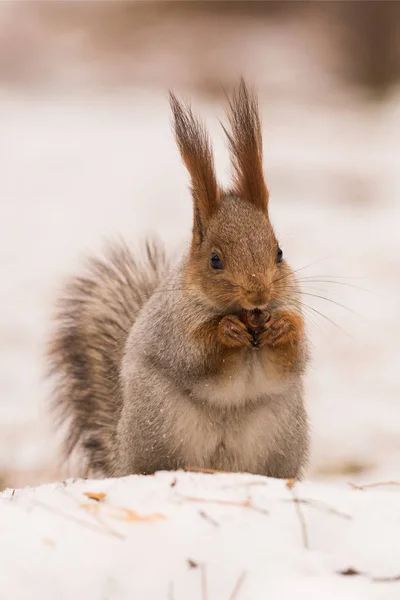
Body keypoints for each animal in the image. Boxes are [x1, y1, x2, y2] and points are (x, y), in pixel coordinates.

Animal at [47, 81, 310, 482]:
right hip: (160, 424)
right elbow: (196, 357)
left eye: (279, 252)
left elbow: (293, 358)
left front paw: (283, 327)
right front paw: (226, 332)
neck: (244, 314)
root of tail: (123, 459)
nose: (258, 294)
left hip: (281, 433)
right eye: (215, 260)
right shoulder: (172, 329)